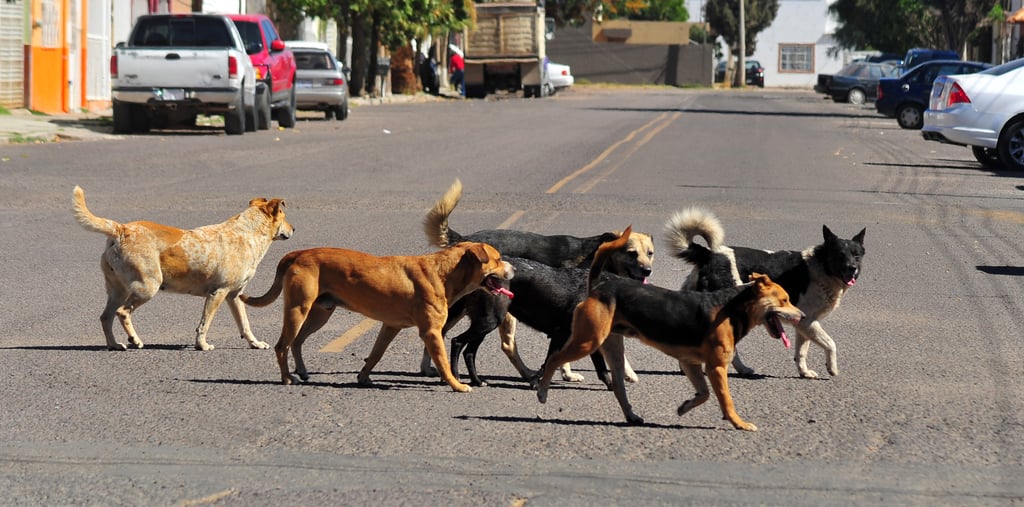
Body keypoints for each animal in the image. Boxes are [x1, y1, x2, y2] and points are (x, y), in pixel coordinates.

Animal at [70, 187, 294, 352]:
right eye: (283, 215)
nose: (294, 229)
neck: (246, 233)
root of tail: (121, 228)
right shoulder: (218, 293)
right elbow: (204, 323)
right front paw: (202, 345)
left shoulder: (234, 296)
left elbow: (245, 324)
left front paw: (255, 343)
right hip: (147, 286)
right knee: (122, 312)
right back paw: (135, 340)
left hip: (118, 290)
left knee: (105, 317)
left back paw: (115, 345)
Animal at [238, 243, 512, 395]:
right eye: (498, 259)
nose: (515, 269)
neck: (443, 273)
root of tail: (297, 253)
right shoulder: (431, 332)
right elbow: (443, 362)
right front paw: (457, 385)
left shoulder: (390, 326)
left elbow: (376, 354)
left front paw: (364, 378)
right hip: (298, 309)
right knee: (282, 346)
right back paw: (287, 378)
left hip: (320, 313)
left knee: (297, 342)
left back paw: (302, 371)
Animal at [532, 228, 802, 430]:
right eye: (784, 300)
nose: (803, 315)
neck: (732, 307)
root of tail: (600, 284)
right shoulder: (715, 367)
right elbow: (726, 401)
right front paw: (740, 423)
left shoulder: (690, 363)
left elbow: (703, 394)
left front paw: (684, 407)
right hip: (589, 341)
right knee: (554, 359)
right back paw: (542, 390)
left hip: (612, 346)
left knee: (618, 386)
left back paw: (631, 416)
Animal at [671, 207, 864, 378]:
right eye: (840, 255)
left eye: (856, 255)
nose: (852, 268)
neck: (822, 266)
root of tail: (709, 254)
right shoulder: (808, 321)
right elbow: (831, 344)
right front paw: (832, 368)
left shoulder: (803, 324)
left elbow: (801, 352)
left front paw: (804, 372)